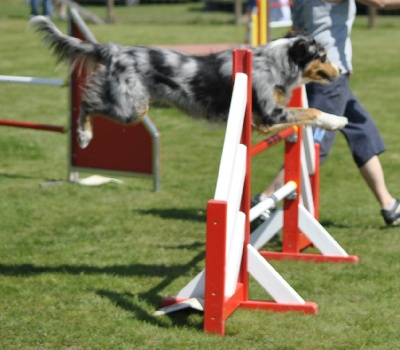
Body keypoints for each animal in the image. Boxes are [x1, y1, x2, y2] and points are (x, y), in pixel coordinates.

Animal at [29, 16, 346, 148]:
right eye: (323, 56)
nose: (342, 69)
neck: (276, 62)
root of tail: (116, 50)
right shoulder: (270, 112)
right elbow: (311, 111)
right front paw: (336, 121)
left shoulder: (262, 119)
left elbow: (299, 117)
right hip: (131, 109)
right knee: (87, 103)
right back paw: (84, 136)